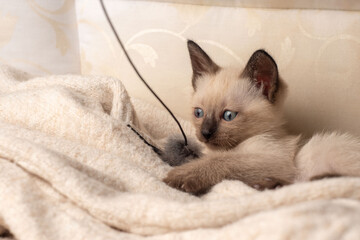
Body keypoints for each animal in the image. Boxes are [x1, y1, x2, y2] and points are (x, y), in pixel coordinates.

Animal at [163, 40, 360, 194]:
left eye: (228, 115)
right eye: (199, 113)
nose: (205, 133)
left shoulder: (273, 159)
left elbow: (222, 160)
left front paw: (180, 175)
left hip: (327, 147)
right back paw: (269, 185)